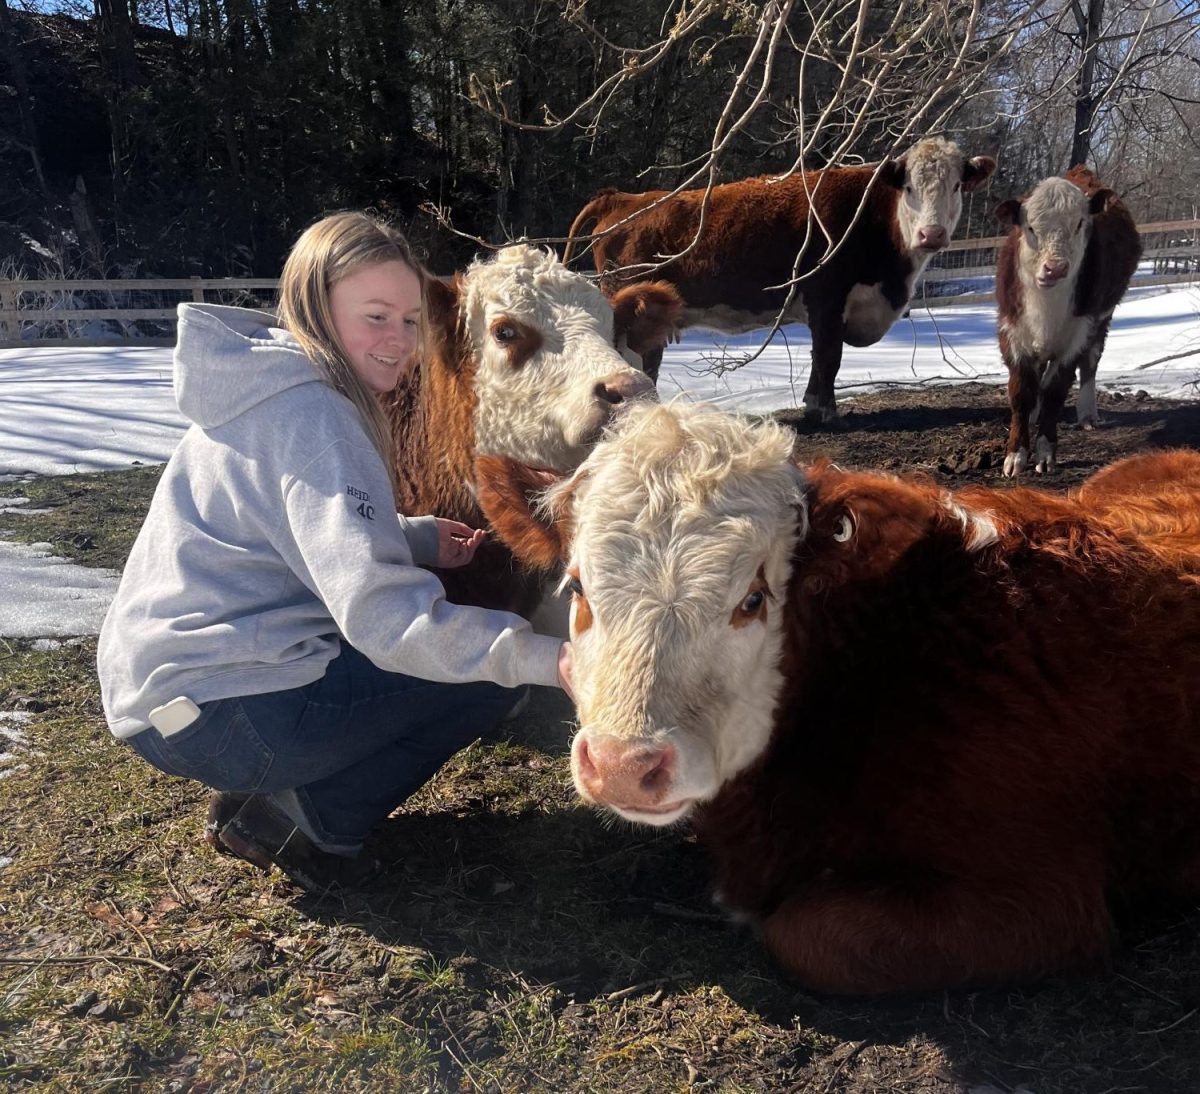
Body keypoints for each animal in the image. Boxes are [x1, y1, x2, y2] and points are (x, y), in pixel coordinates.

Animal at [563, 138, 996, 414]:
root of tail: (624, 198)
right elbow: (828, 357)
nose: (932, 234)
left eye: (957, 185)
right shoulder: (827, 299)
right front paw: (822, 410)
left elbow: (824, 360)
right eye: (908, 187)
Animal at [994, 166, 1142, 476]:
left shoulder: (1077, 335)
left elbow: (1056, 389)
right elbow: (1021, 392)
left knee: (1090, 365)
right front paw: (1015, 455)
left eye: (1079, 224)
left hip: (1102, 321)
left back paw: (1086, 414)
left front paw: (1044, 453)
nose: (1055, 268)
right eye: (1030, 228)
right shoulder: (1012, 331)